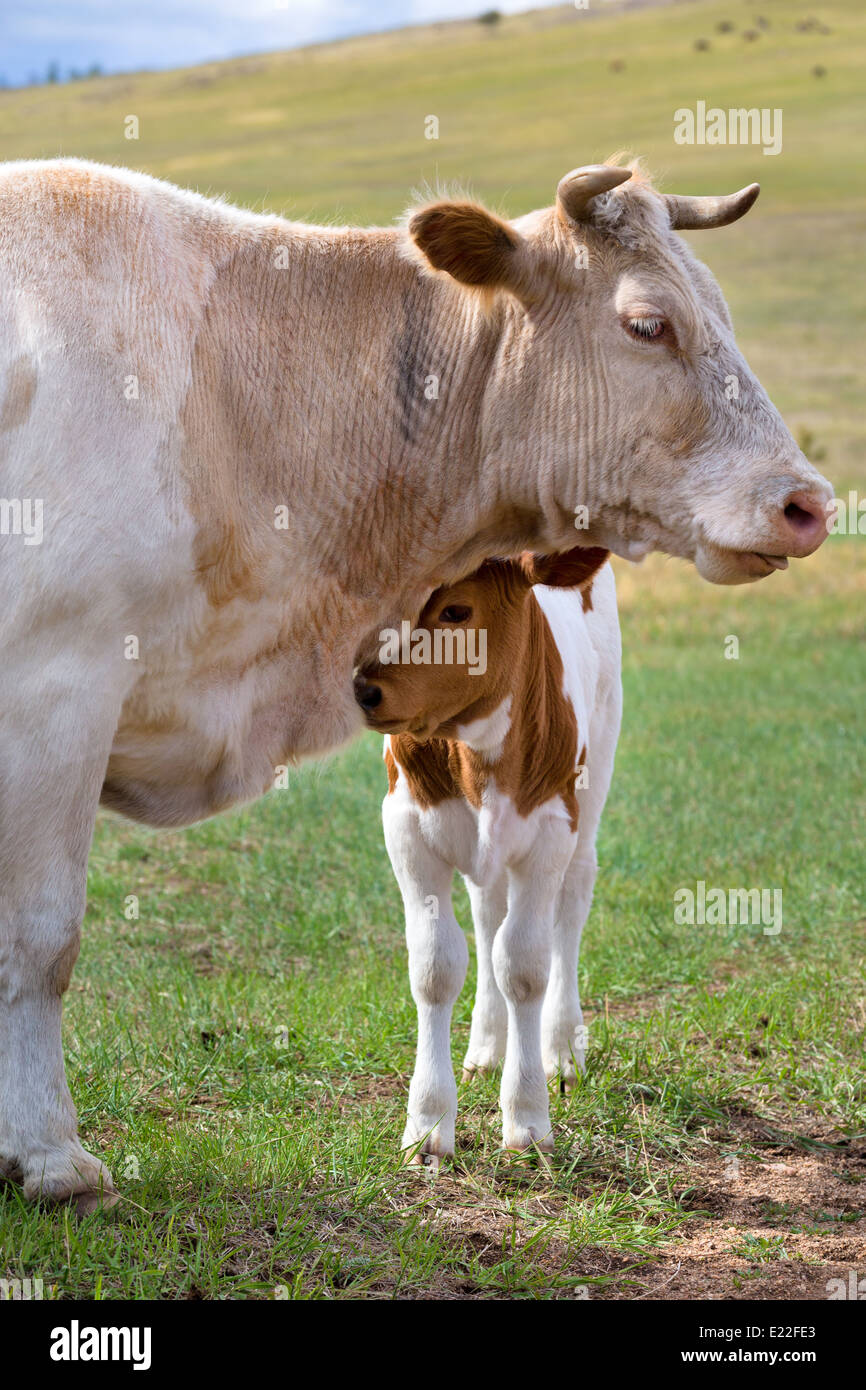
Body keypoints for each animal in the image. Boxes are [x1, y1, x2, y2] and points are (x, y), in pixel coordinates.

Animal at [355, 547, 619, 1156]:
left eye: (457, 609)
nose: (363, 689)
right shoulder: (405, 829)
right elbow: (436, 965)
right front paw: (428, 1123)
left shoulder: (550, 832)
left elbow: (524, 965)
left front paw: (527, 1118)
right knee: (486, 912)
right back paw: (485, 1047)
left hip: (597, 770)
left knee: (571, 903)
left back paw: (562, 1050)